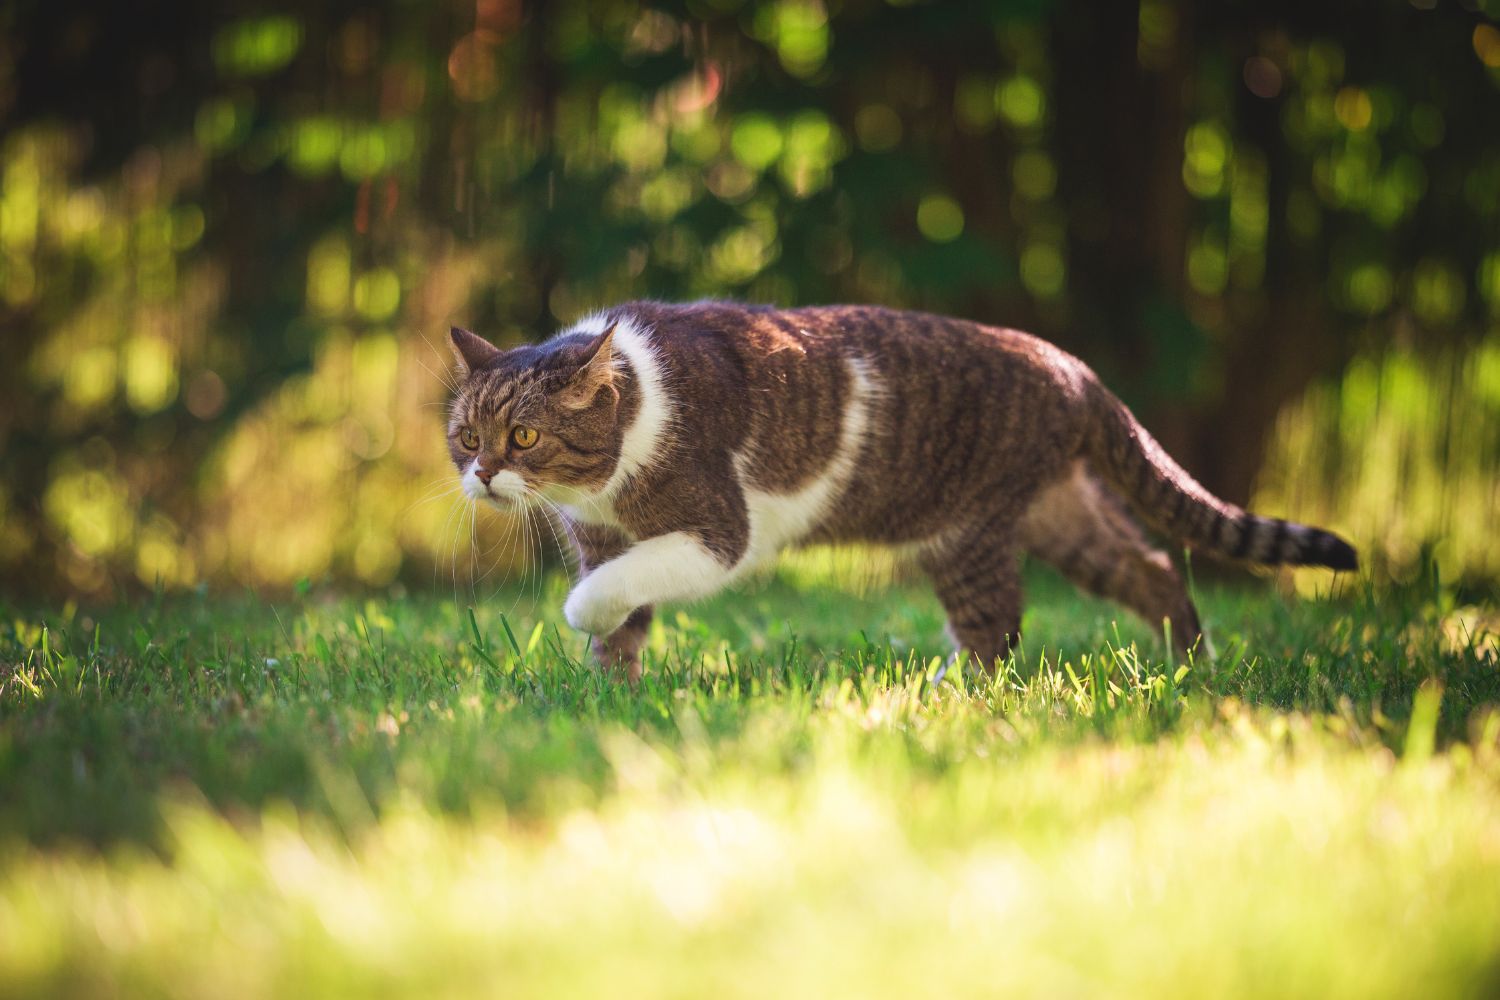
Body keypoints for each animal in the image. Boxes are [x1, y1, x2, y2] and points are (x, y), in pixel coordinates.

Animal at [447, 301, 1362, 683]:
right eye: (465, 435)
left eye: (523, 437)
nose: (483, 473)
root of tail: (1075, 368)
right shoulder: (602, 532)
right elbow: (625, 618)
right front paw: (615, 689)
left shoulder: (716, 530)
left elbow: (621, 585)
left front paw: (584, 619)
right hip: (1056, 508)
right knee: (1152, 567)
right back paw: (1191, 665)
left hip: (967, 527)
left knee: (997, 624)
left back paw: (941, 690)